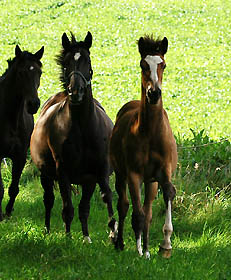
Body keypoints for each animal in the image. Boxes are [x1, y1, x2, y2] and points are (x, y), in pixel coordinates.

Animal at [30, 31, 117, 243]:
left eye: (88, 60)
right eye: (67, 62)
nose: (76, 92)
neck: (82, 127)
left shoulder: (98, 171)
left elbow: (104, 197)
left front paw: (113, 233)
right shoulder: (63, 172)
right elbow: (67, 207)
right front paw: (68, 238)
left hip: (86, 181)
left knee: (83, 207)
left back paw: (86, 236)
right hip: (46, 175)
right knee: (49, 200)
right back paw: (47, 230)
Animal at [109, 35, 177, 258]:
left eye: (163, 64)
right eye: (143, 64)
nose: (153, 93)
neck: (150, 133)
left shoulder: (163, 173)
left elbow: (167, 195)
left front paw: (164, 246)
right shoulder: (133, 174)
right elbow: (136, 213)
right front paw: (138, 251)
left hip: (150, 182)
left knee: (147, 211)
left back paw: (146, 248)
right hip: (121, 175)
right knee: (124, 206)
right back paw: (121, 243)